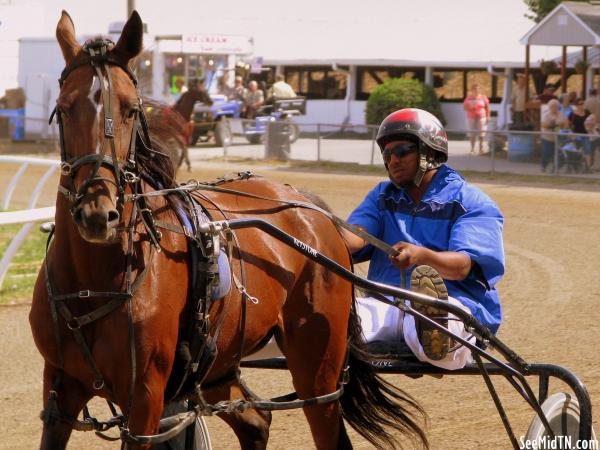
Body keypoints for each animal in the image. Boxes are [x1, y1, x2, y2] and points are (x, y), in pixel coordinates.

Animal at [30, 10, 428, 450]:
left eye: (132, 109)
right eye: (64, 108)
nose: (98, 213)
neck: (94, 282)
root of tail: (307, 205)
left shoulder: (145, 399)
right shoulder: (59, 389)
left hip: (317, 369)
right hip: (216, 363)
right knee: (256, 420)